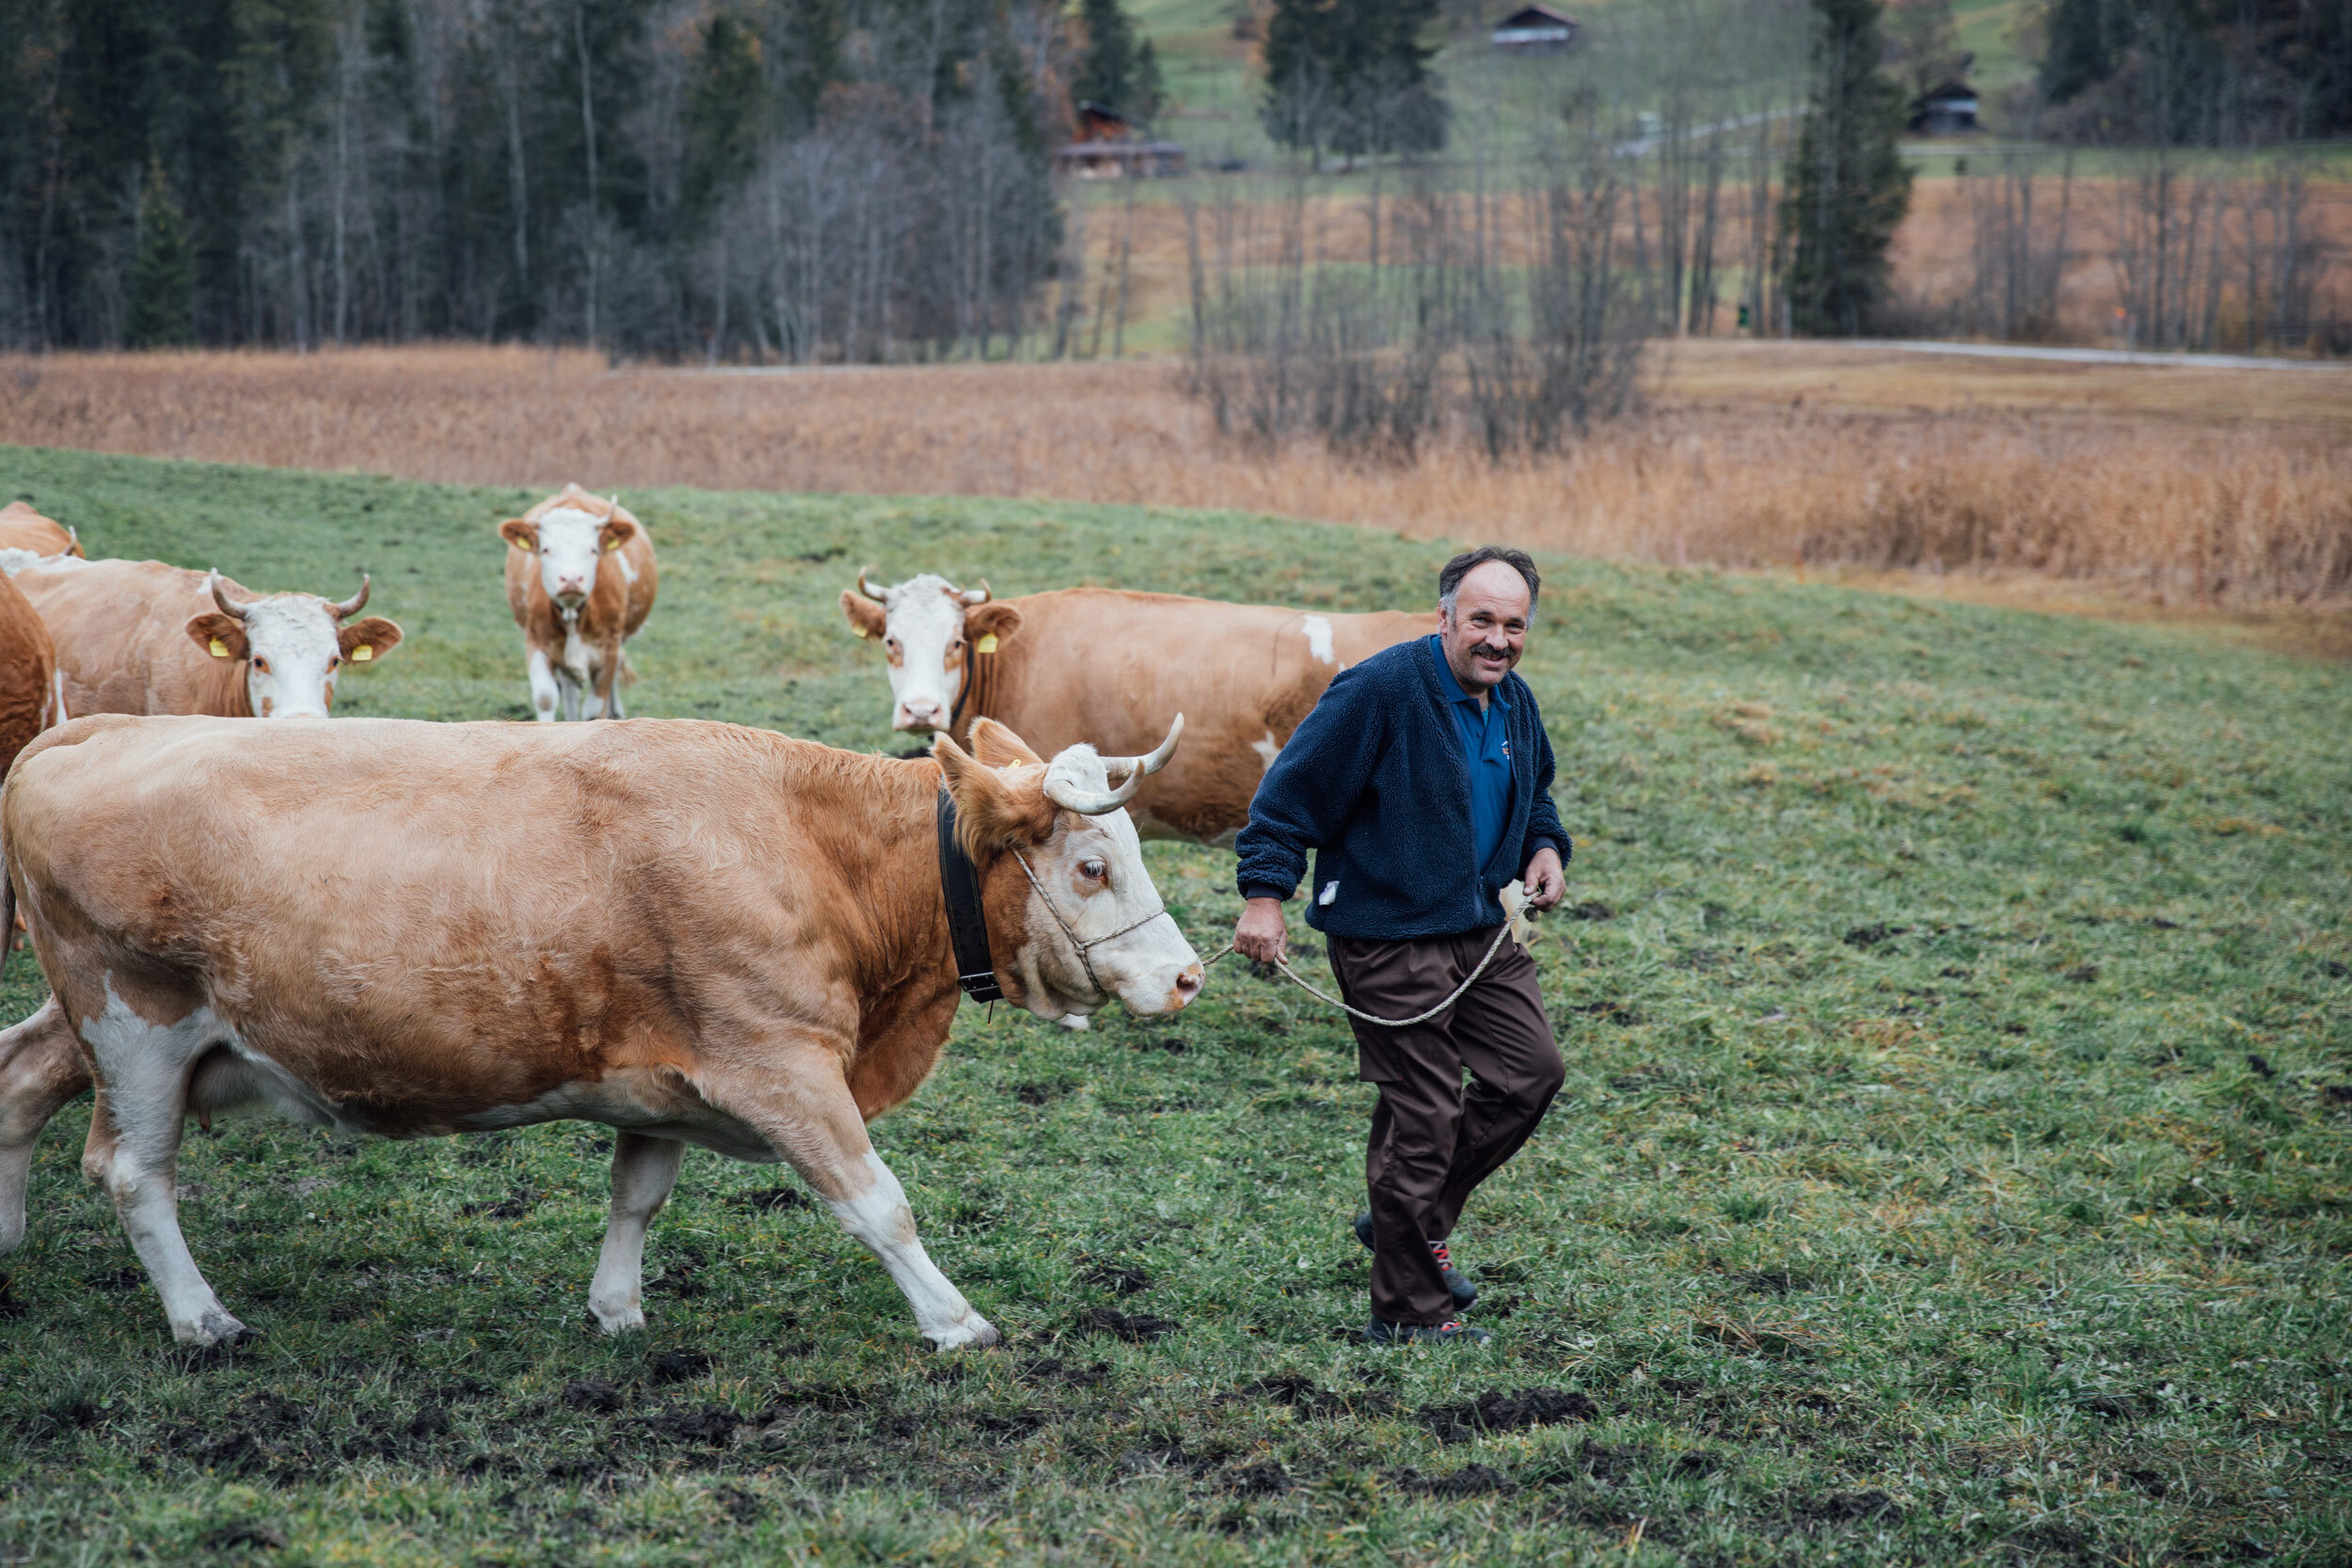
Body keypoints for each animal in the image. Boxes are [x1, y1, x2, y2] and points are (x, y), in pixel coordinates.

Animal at [0, 709, 1204, 1354]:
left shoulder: (669, 1076)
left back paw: (9, 1240)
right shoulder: (780, 1063)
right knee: (130, 1171)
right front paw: (956, 1322)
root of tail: (92, 725)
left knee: (17, 1078)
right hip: (136, 1024)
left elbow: (638, 1194)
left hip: (91, 1021)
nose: (1187, 974)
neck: (809, 844)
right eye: (1090, 865)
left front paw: (616, 1307)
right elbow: (879, 1204)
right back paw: (201, 1317)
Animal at [501, 483, 659, 723]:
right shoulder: (537, 642)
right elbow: (546, 698)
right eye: (546, 549)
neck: (573, 613)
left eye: (592, 550)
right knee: (569, 691)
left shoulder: (608, 650)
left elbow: (595, 710)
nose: (571, 579)